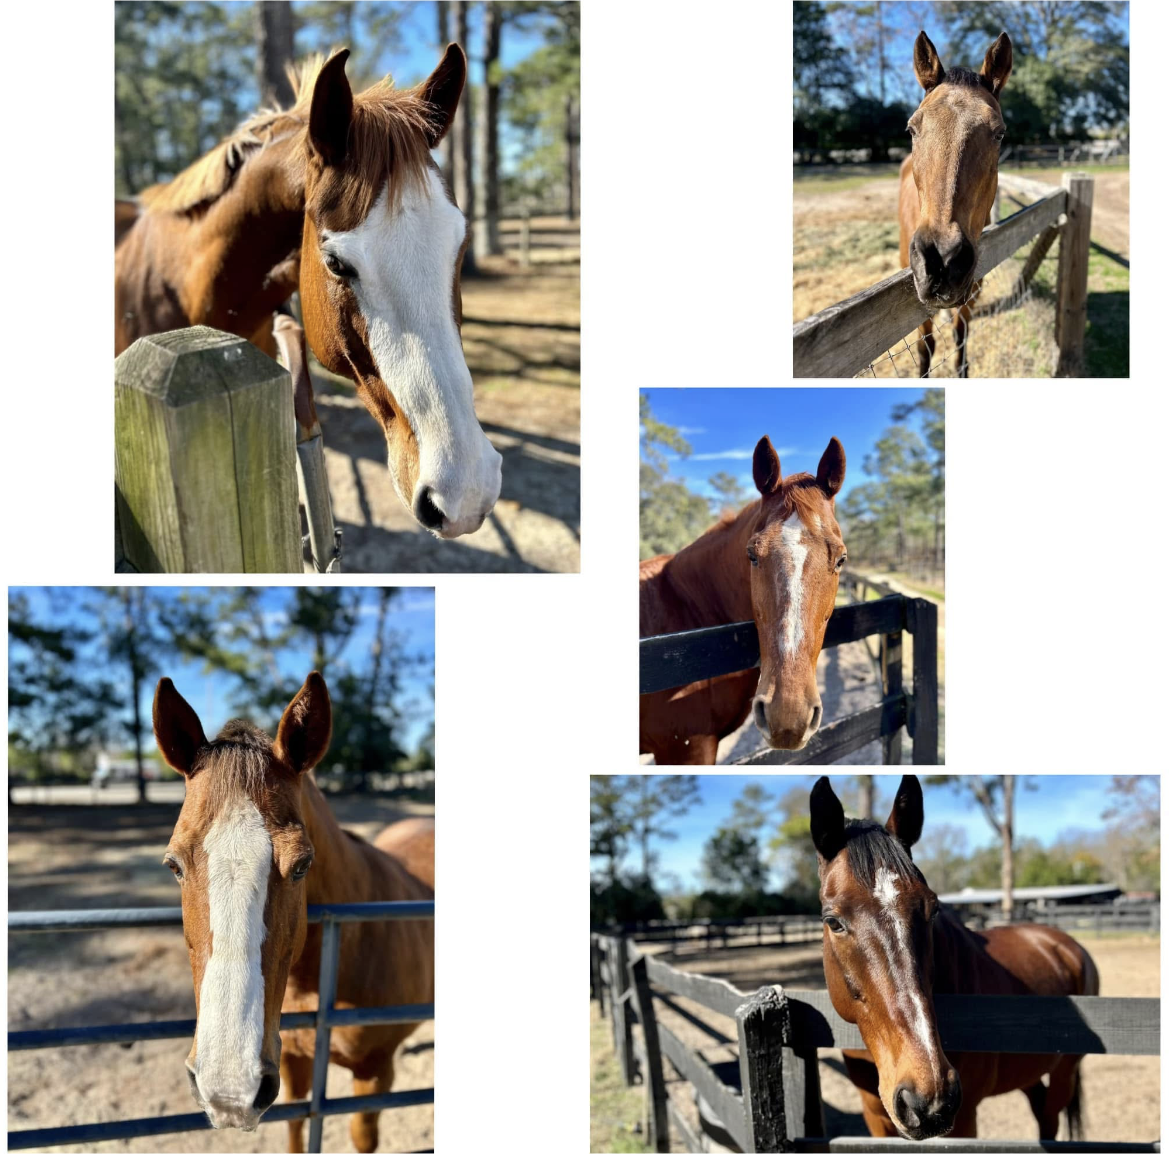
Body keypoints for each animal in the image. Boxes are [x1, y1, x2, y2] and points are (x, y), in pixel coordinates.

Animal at [152, 672, 434, 1153]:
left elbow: (362, 1137)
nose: (228, 1091)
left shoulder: (374, 1072)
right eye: (174, 865)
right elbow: (297, 1127)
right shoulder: (292, 1062)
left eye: (302, 864)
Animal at [811, 774, 1099, 1141]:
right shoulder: (874, 1117)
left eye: (933, 909)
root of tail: (1067, 945)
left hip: (1065, 1071)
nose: (928, 1098)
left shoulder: (964, 1120)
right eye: (833, 921)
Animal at [899, 31, 1013, 378]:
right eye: (912, 129)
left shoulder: (972, 292)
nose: (942, 260)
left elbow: (961, 340)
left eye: (999, 133)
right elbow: (925, 349)